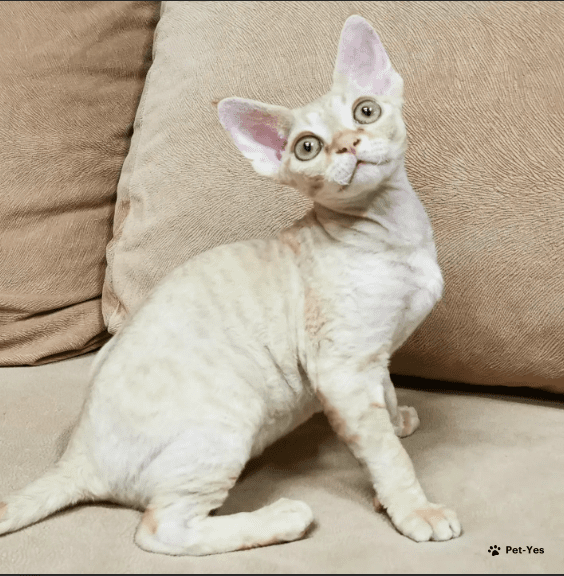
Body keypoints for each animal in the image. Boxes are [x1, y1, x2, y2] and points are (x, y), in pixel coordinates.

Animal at [0, 15, 461, 555]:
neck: (396, 232)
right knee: (159, 530)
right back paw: (282, 518)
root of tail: (75, 456)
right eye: (308, 147)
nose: (348, 144)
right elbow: (387, 455)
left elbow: (384, 398)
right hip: (224, 429)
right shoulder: (342, 368)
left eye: (365, 111)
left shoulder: (372, 355)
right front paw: (414, 508)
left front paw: (395, 420)